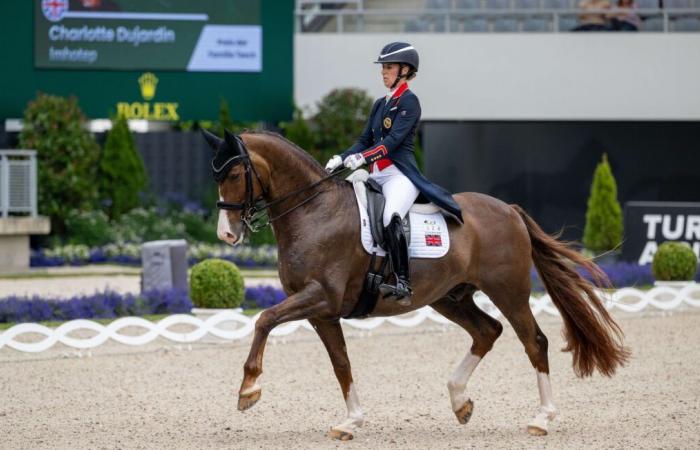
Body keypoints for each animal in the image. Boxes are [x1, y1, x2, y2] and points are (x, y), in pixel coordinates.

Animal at [205, 129, 632, 440]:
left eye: (235, 174)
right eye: (215, 176)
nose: (226, 234)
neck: (313, 210)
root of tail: (509, 209)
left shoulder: (320, 297)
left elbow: (263, 319)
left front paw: (248, 389)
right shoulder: (322, 312)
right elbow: (341, 363)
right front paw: (351, 421)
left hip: (508, 292)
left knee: (534, 341)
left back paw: (541, 418)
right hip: (449, 297)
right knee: (487, 331)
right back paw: (460, 401)